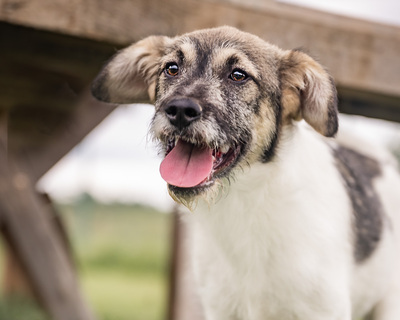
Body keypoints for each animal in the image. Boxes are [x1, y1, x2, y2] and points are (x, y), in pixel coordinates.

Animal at [92, 26, 400, 320]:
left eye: (238, 76)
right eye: (171, 68)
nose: (179, 110)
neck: (244, 202)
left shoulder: (323, 310)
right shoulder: (220, 310)